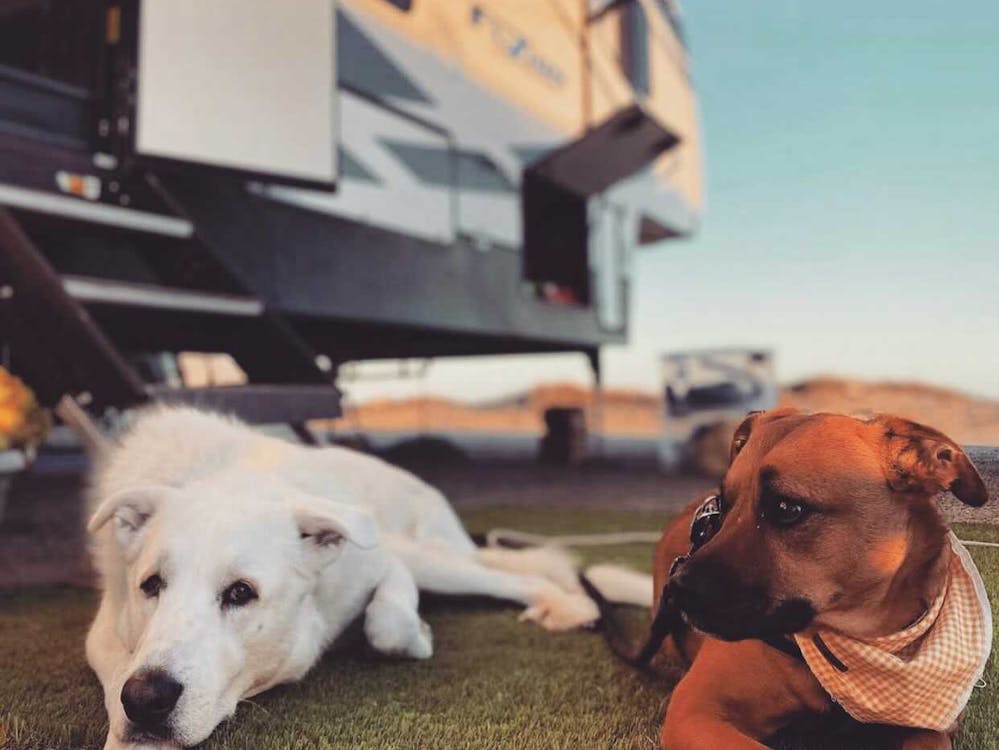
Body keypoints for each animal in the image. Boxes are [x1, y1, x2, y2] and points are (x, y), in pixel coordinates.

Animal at [86, 408, 596, 748]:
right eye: (151, 585)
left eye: (240, 592)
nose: (145, 699)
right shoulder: (104, 634)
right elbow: (116, 684)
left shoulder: (380, 557)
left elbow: (388, 624)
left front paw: (417, 636)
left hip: (427, 554)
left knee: (504, 576)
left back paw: (570, 604)